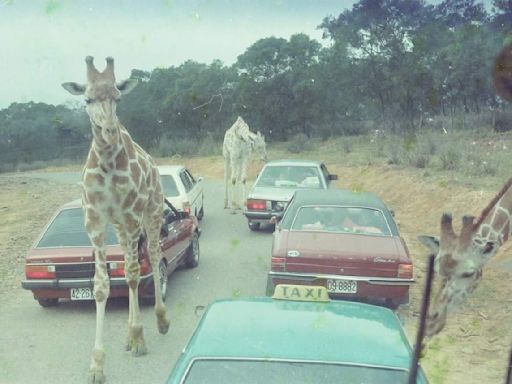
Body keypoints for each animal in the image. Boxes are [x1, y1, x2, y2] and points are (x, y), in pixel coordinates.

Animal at [62, 55, 169, 382]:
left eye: (118, 98)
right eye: (87, 99)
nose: (109, 131)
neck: (108, 162)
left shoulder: (132, 214)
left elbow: (133, 274)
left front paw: (139, 336)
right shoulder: (95, 221)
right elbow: (102, 284)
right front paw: (97, 364)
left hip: (151, 211)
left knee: (153, 256)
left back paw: (159, 322)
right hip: (120, 227)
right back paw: (128, 338)